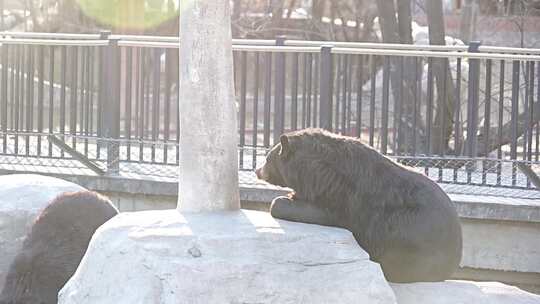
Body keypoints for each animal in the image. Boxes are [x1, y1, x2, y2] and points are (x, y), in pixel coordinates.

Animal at [255, 128, 462, 282]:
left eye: (266, 158)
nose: (257, 170)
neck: (315, 170)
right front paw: (292, 195)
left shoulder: (341, 195)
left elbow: (322, 211)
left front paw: (284, 200)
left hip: (411, 241)